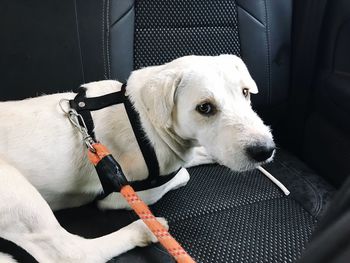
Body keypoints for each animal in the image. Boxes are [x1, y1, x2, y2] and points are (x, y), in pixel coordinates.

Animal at [0, 54, 274, 262]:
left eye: (245, 92)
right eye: (204, 107)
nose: (265, 150)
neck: (143, 114)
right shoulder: (123, 195)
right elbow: (182, 174)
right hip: (18, 193)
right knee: (71, 252)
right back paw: (140, 230)